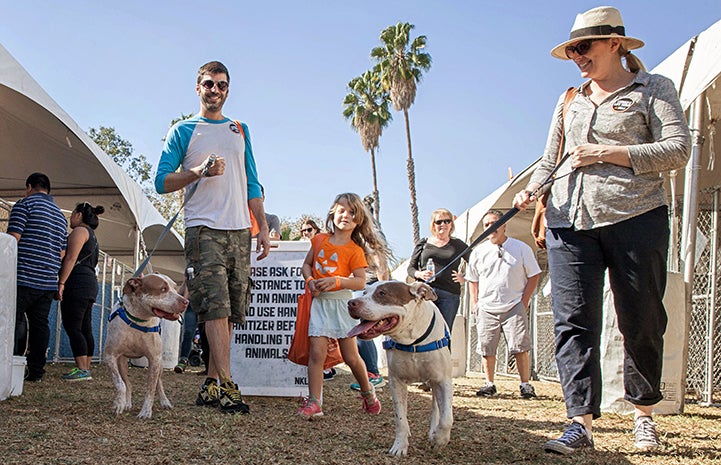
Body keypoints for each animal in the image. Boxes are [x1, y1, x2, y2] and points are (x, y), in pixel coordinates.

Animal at [105, 274, 188, 418]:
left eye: (175, 288)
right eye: (163, 289)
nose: (186, 302)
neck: (138, 319)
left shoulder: (154, 359)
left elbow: (151, 388)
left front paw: (146, 411)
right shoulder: (110, 356)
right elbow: (119, 383)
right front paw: (119, 404)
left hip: (159, 365)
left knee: (159, 383)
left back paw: (165, 401)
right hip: (122, 362)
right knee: (127, 383)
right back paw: (126, 402)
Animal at [348, 280, 452, 454]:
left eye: (382, 293)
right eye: (364, 293)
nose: (351, 303)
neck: (412, 340)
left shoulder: (443, 380)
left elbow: (446, 417)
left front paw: (440, 438)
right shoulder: (396, 382)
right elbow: (400, 418)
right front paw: (400, 445)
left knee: (436, 406)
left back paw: (433, 431)